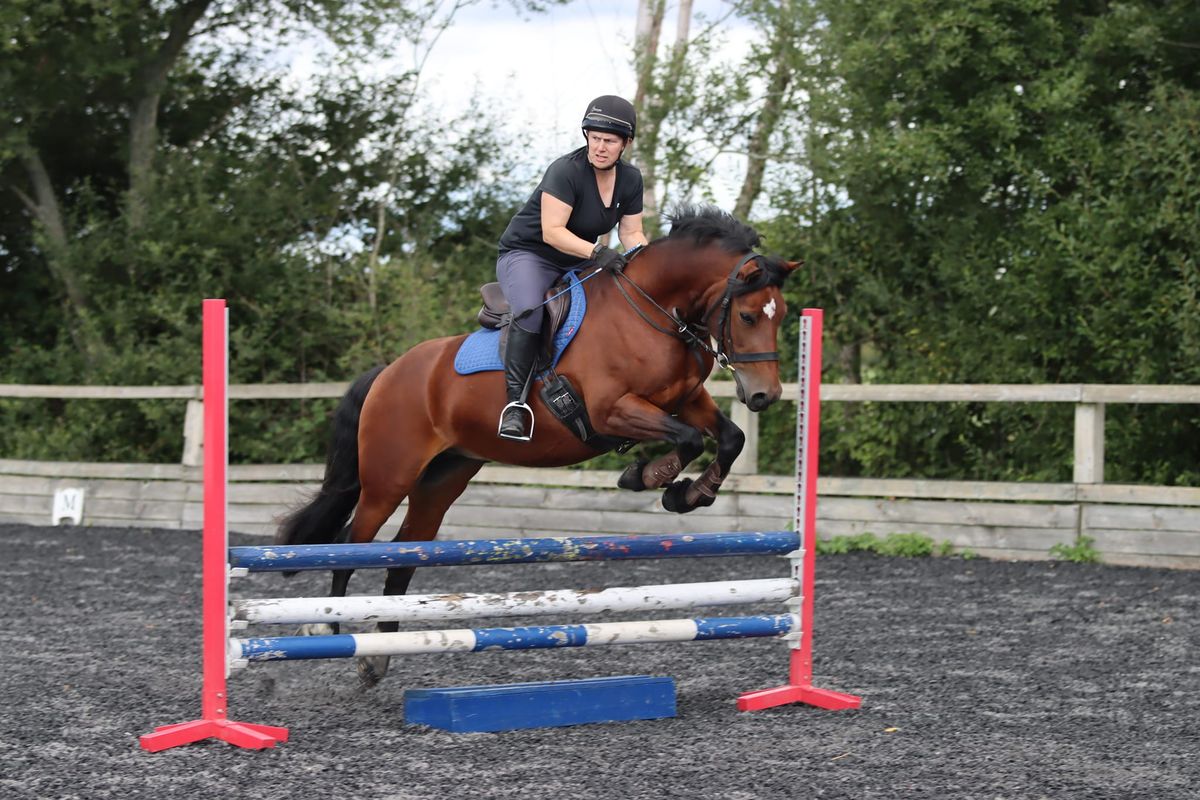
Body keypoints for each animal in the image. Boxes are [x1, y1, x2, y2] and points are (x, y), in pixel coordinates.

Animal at [276, 203, 801, 686]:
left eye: (782, 315)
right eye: (748, 315)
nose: (764, 395)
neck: (653, 311)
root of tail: (388, 372)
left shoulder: (684, 400)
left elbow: (729, 438)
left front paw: (690, 493)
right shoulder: (613, 410)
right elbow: (689, 439)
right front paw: (650, 477)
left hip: (442, 478)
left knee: (403, 556)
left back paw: (380, 652)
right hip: (389, 477)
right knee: (351, 543)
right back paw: (331, 631)